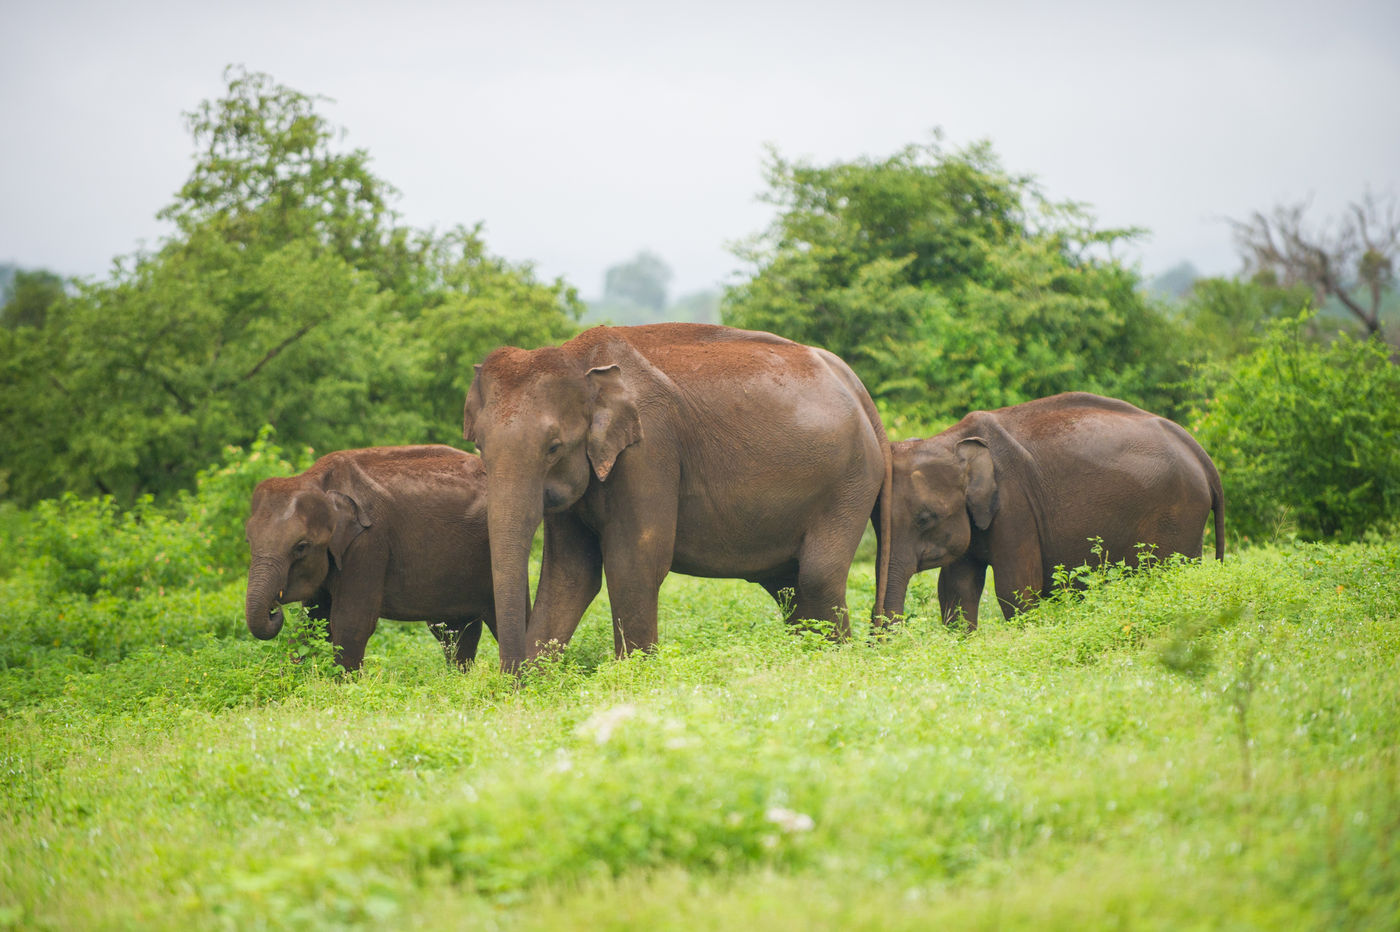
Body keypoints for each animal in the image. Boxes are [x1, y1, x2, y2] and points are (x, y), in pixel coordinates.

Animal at [243, 445, 495, 668]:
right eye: (248, 541)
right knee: (456, 630)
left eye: (301, 547)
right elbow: (313, 622)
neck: (319, 482)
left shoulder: (368, 544)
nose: (274, 610)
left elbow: (350, 623)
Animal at [464, 321, 890, 668]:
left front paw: (633, 678)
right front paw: (530, 687)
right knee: (790, 584)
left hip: (849, 481)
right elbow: (571, 573)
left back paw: (834, 662)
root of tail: (858, 389)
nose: (509, 674)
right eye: (479, 446)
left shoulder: (649, 450)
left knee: (817, 575)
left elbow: (635, 561)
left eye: (553, 447)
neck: (580, 361)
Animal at [884, 389, 1226, 626]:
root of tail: (1202, 455)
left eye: (925, 519)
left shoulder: (1015, 505)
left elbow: (1016, 589)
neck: (952, 440)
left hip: (1179, 515)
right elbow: (957, 590)